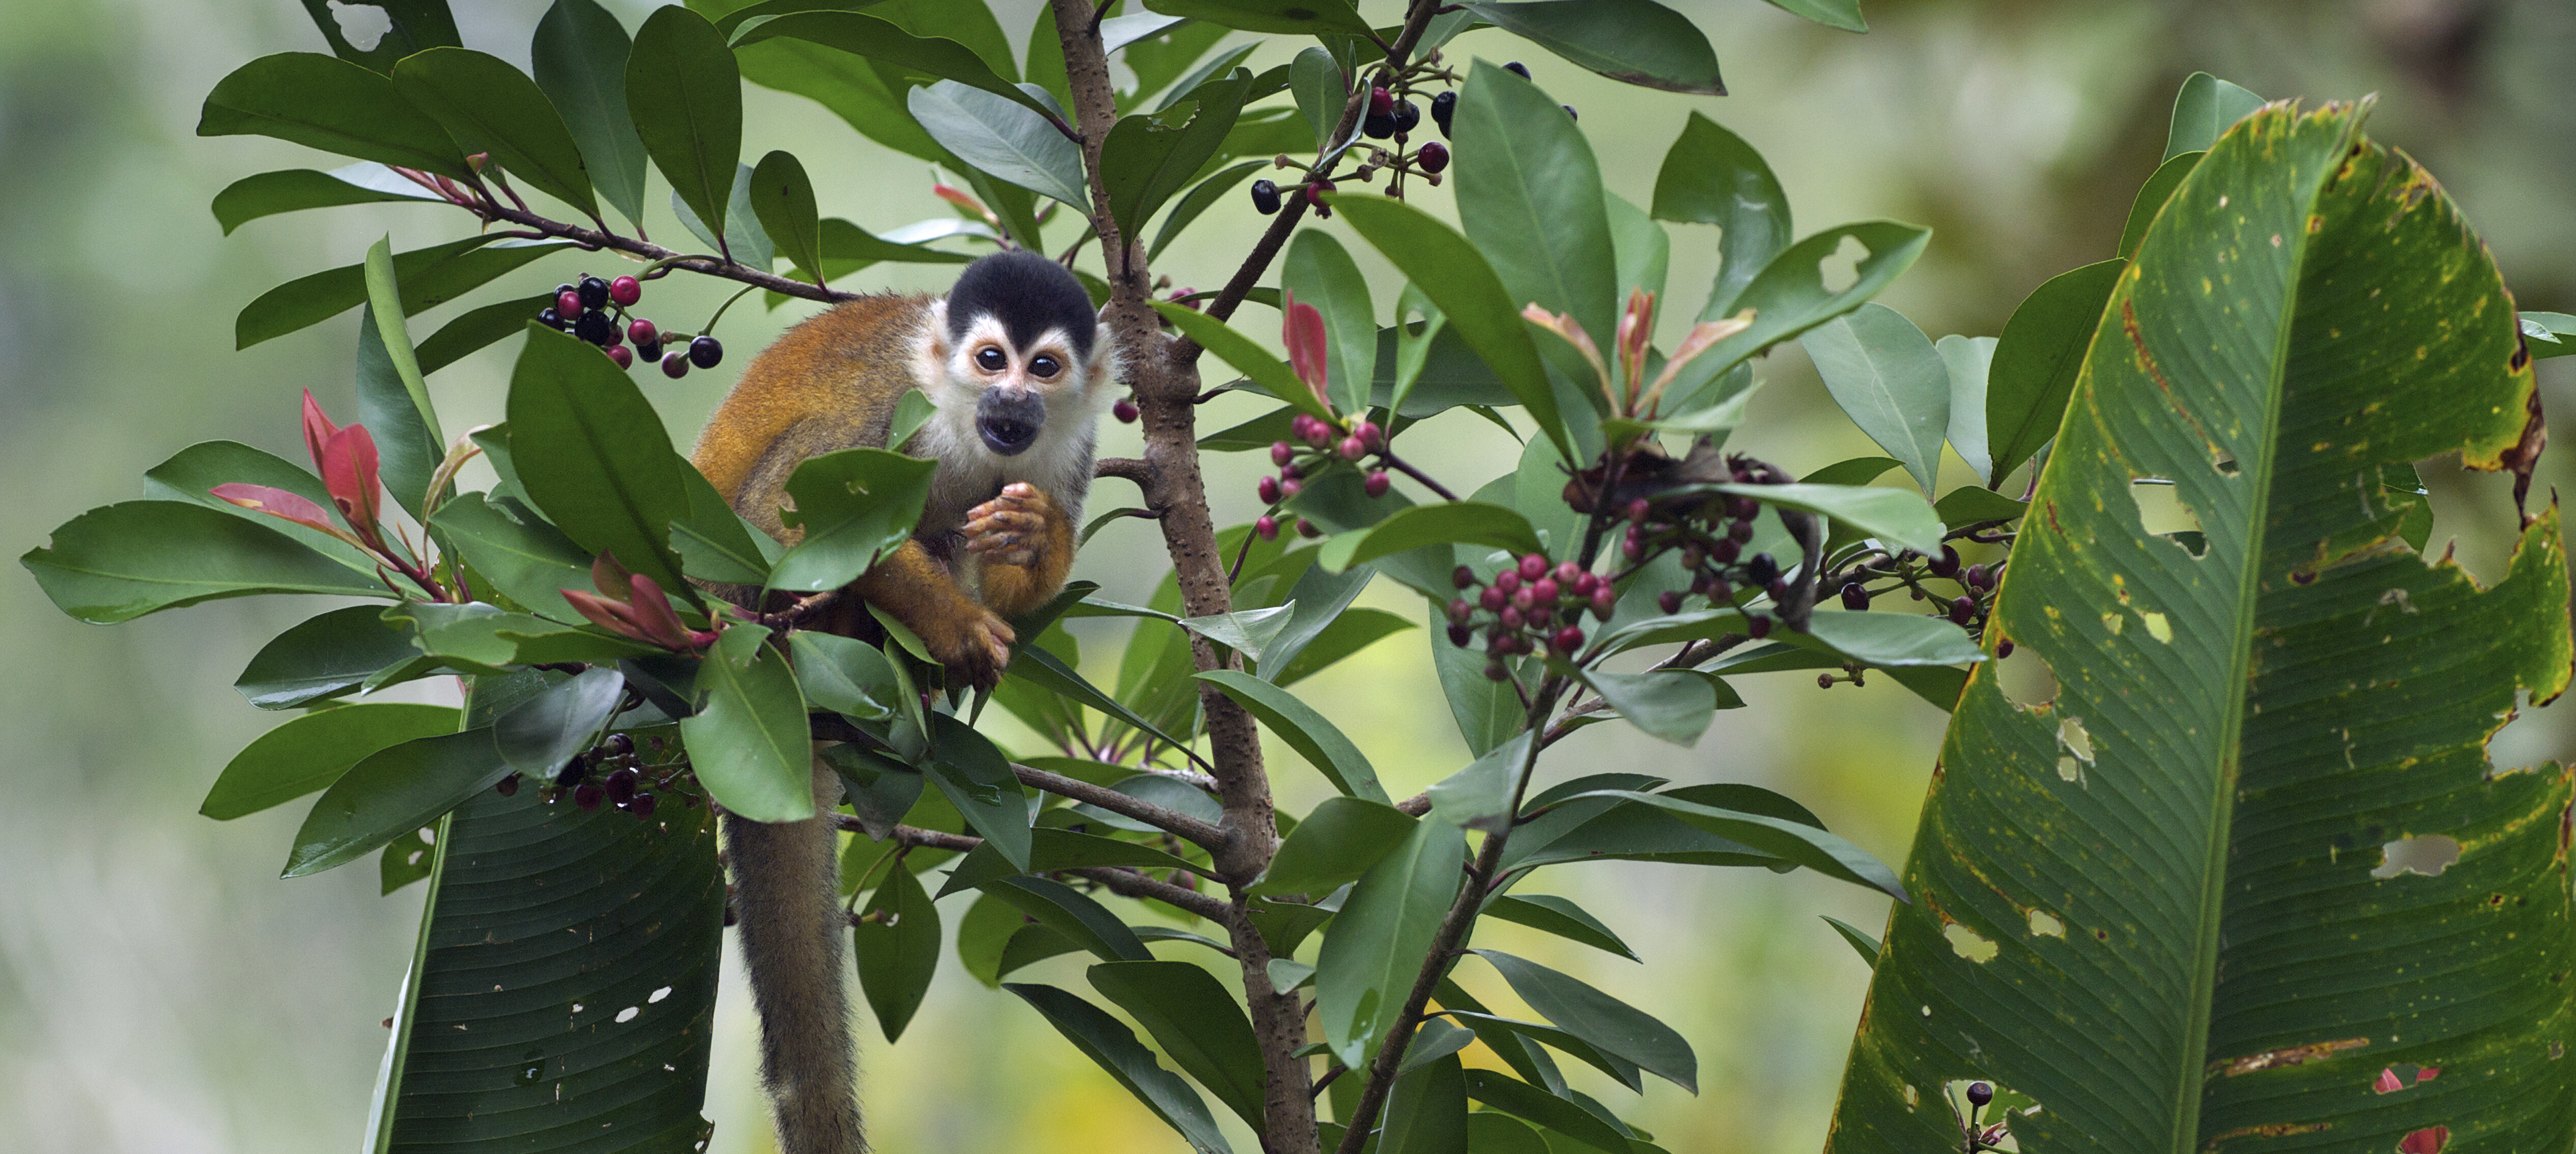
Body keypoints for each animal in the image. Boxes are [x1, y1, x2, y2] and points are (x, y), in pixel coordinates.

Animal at [690, 247, 1112, 1149]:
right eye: (990, 360)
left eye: (1043, 368)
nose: (1012, 402)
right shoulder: (892, 416)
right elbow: (786, 515)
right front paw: (955, 626)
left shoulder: (1073, 448)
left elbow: (1023, 572)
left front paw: (1035, 541)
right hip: (731, 605)